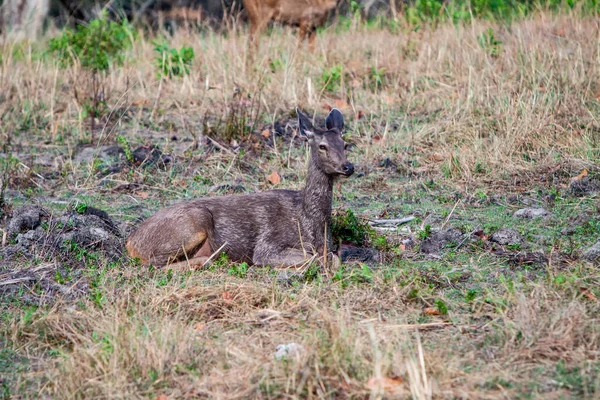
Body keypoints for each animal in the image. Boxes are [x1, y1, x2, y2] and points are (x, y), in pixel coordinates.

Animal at [125, 108, 354, 270]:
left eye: (345, 144)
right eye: (322, 146)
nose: (348, 167)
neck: (310, 222)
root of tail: (130, 243)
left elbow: (333, 259)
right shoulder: (266, 246)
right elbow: (316, 259)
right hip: (192, 223)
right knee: (151, 265)